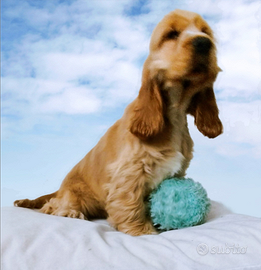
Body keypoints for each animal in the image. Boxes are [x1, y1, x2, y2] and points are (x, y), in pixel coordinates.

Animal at [14, 8, 221, 236]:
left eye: (206, 32)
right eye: (172, 34)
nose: (204, 43)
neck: (174, 113)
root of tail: (59, 189)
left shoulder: (177, 172)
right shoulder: (129, 171)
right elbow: (130, 203)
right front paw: (143, 230)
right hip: (74, 195)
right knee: (53, 205)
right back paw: (70, 212)